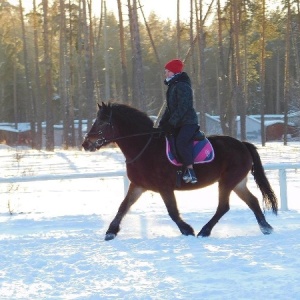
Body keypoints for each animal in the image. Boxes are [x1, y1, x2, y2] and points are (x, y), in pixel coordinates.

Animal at [81, 102, 278, 240]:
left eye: (102, 122)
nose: (86, 144)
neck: (145, 147)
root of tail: (243, 145)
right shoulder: (137, 185)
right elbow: (123, 207)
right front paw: (111, 232)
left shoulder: (164, 187)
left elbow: (173, 211)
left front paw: (187, 230)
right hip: (237, 183)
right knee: (252, 201)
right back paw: (266, 228)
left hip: (227, 181)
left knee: (223, 206)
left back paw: (204, 231)